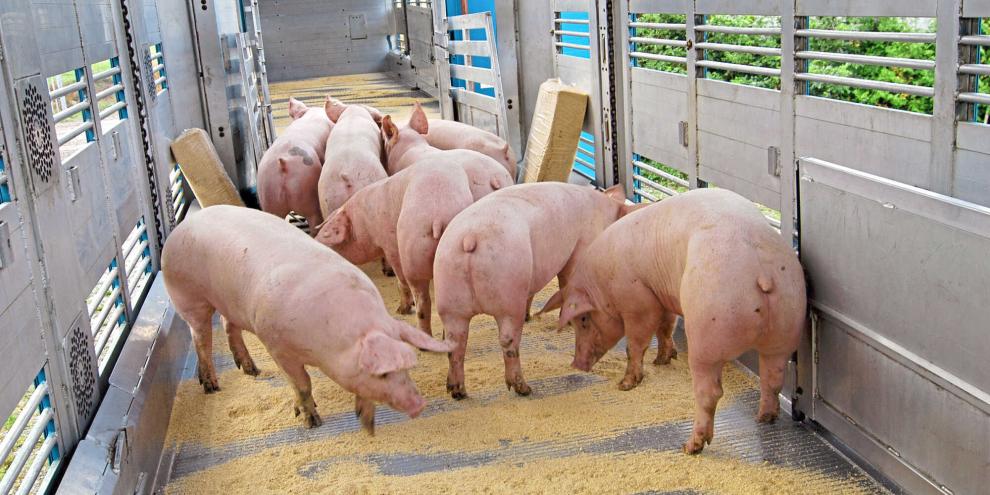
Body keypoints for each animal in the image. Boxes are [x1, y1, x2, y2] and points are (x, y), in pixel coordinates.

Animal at [161, 205, 453, 433]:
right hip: (188, 296)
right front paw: (312, 421)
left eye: (407, 367)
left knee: (227, 325)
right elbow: (301, 384)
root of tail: (183, 226)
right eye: (382, 374)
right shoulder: (276, 345)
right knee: (200, 337)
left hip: (232, 302)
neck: (325, 347)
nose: (419, 404)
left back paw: (252, 370)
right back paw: (211, 385)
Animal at [316, 158, 498, 336]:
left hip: (411, 249)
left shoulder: (388, 242)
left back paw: (409, 319)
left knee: (421, 299)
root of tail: (438, 215)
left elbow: (398, 275)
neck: (363, 221)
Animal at [433, 183, 638, 398]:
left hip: (449, 293)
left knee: (455, 343)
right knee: (507, 340)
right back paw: (524, 388)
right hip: (508, 292)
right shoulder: (579, 249)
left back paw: (457, 392)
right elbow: (567, 282)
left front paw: (530, 316)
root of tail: (470, 238)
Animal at [549, 188, 806, 454]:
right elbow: (665, 327)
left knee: (710, 392)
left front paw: (625, 384)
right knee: (773, 378)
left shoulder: (639, 300)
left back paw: (690, 447)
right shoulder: (662, 295)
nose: (576, 364)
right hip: (788, 322)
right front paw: (662, 360)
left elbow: (636, 343)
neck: (604, 284)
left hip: (708, 328)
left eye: (583, 319)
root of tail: (761, 271)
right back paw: (764, 418)